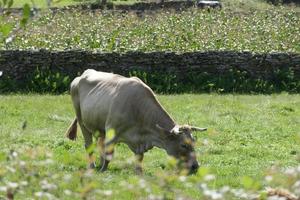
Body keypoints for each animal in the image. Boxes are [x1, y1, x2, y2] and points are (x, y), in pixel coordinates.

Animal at [65, 69, 206, 174]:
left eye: (194, 142)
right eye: (183, 145)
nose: (195, 167)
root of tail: (83, 74)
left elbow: (139, 158)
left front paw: (139, 173)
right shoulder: (111, 130)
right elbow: (109, 154)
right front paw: (103, 171)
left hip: (100, 127)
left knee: (100, 143)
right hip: (82, 120)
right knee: (89, 145)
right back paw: (93, 166)